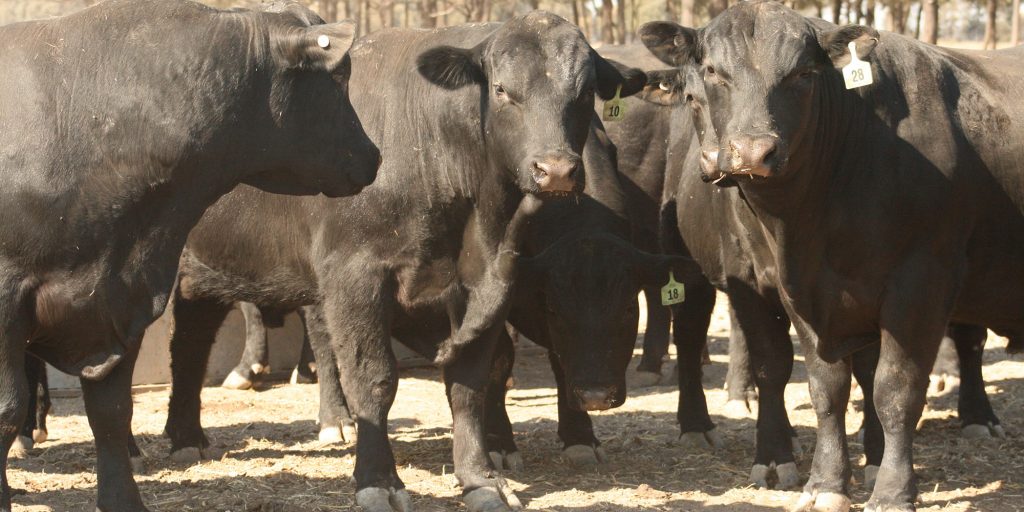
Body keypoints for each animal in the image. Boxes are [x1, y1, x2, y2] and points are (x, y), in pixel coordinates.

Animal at [0, 0, 380, 509]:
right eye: (338, 78)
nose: (374, 155)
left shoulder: (123, 295)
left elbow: (111, 410)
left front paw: (123, 499)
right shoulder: (9, 299)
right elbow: (7, 405)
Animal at [158, 13, 649, 512]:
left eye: (584, 92)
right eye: (501, 90)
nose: (555, 170)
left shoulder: (488, 283)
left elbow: (471, 381)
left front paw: (480, 479)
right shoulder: (356, 277)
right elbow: (374, 380)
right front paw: (379, 480)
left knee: (192, 342)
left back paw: (187, 435)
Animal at [639, 2, 1024, 510]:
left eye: (803, 73)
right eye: (711, 73)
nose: (750, 152)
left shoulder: (920, 284)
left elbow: (894, 389)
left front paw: (891, 488)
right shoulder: (787, 291)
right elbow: (819, 385)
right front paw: (820, 480)